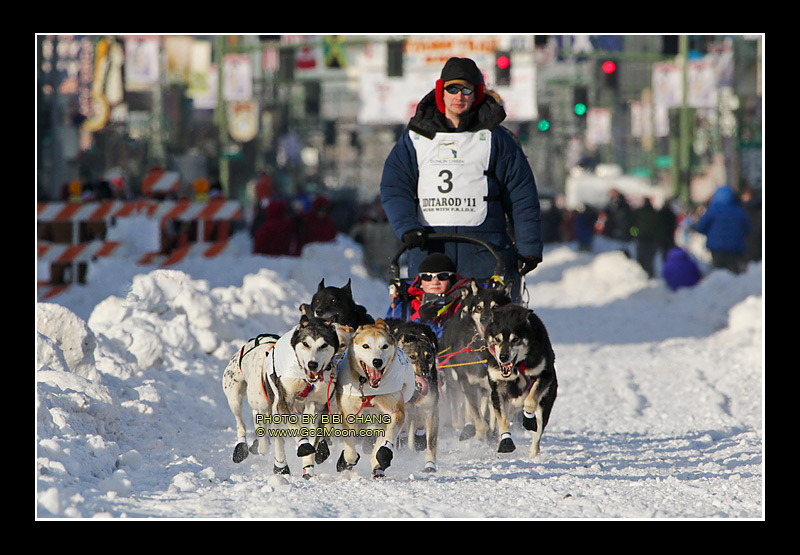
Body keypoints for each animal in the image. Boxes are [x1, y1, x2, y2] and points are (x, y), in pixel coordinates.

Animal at [438, 282, 512, 444]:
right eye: (479, 307)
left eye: (495, 307)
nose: (485, 318)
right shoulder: (467, 382)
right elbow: (477, 416)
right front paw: (479, 433)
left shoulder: (494, 388)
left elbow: (492, 417)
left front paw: (491, 435)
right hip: (456, 381)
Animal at [482, 306, 556, 458]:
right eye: (497, 339)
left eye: (515, 339)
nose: (503, 357)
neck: (518, 366)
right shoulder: (497, 390)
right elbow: (502, 420)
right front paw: (506, 442)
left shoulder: (545, 376)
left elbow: (530, 400)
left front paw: (528, 418)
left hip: (544, 405)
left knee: (537, 435)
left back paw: (533, 453)